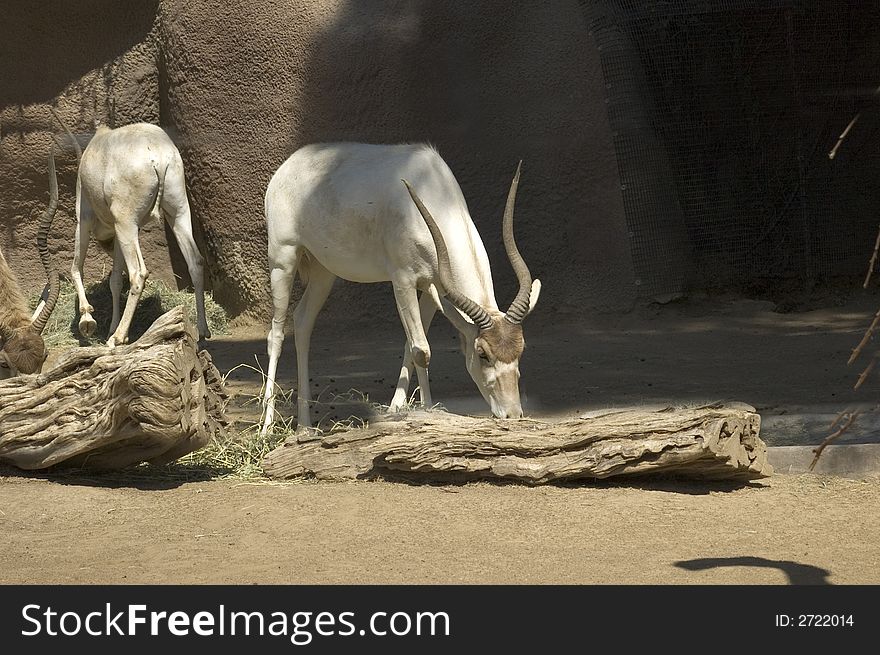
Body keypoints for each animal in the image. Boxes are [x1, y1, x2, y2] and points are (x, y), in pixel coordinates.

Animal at [71, 123, 211, 348]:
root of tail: (159, 156)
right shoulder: (118, 232)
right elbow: (115, 281)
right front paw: (112, 328)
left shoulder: (83, 219)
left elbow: (76, 268)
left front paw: (87, 321)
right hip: (176, 213)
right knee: (196, 261)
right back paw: (203, 331)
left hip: (126, 223)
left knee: (138, 273)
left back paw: (117, 338)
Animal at [258, 142, 540, 436]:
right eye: (482, 353)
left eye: (521, 349)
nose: (512, 414)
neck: (432, 191)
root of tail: (286, 168)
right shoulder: (403, 279)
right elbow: (421, 350)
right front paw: (427, 413)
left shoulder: (433, 287)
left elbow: (412, 343)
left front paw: (404, 408)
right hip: (283, 259)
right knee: (276, 333)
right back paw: (266, 427)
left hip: (324, 271)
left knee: (302, 322)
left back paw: (305, 426)